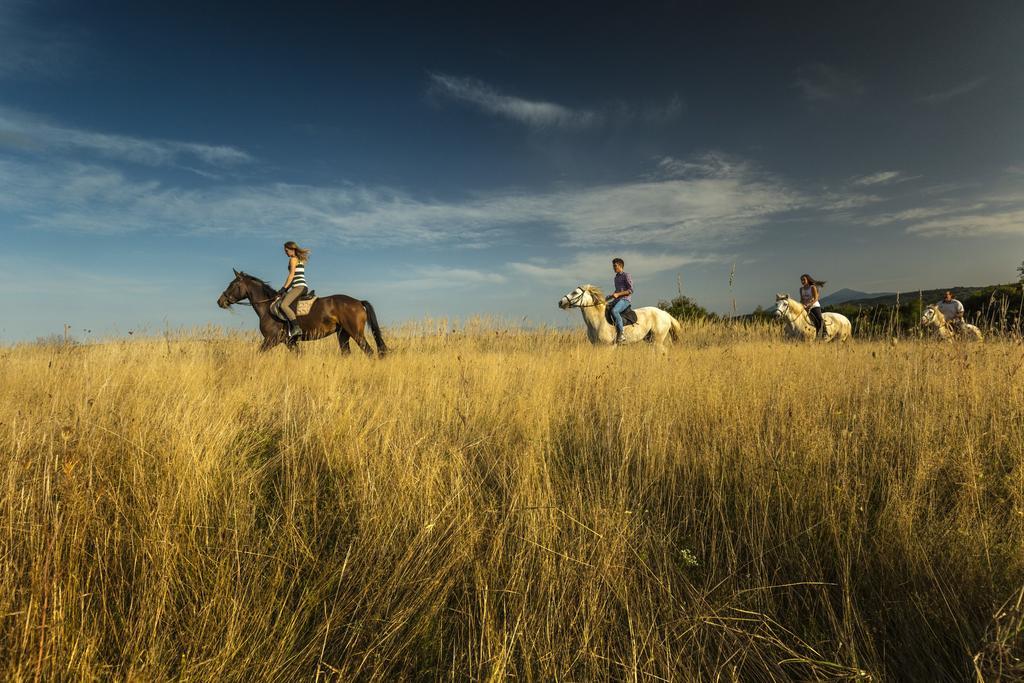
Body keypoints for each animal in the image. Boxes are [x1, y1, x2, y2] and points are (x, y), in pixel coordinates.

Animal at [216, 268, 387, 356]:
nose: (220, 301)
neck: (267, 307)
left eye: (232, 284)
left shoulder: (271, 339)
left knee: (370, 352)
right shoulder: (289, 342)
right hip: (343, 334)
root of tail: (358, 302)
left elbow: (258, 354)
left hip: (355, 333)